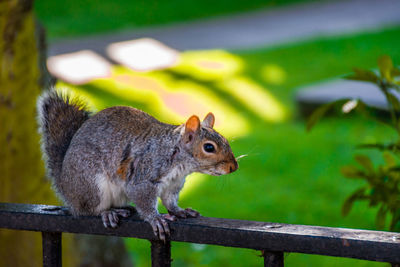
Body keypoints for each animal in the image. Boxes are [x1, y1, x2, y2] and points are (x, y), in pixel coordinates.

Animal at [36, 89, 238, 241]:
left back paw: (124, 209)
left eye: (226, 140)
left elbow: (170, 200)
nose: (233, 167)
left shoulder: (173, 184)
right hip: (90, 183)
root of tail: (65, 186)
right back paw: (108, 213)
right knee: (88, 210)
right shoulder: (143, 176)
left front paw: (180, 211)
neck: (178, 162)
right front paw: (155, 219)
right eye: (209, 147)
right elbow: (144, 199)